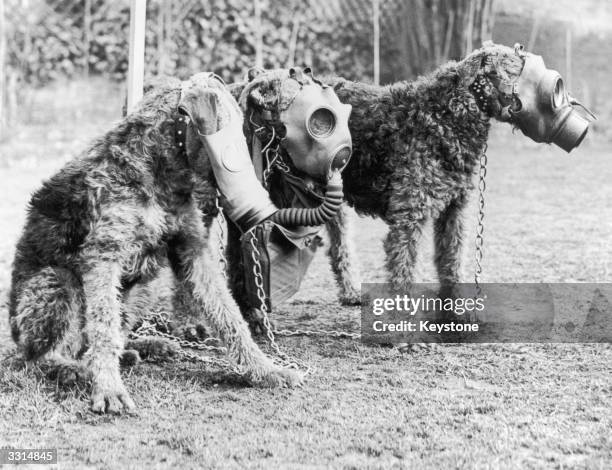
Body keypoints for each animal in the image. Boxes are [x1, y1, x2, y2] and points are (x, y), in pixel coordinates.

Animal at [10, 71, 302, 414]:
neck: (158, 166)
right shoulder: (103, 256)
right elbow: (103, 327)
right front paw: (108, 389)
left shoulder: (192, 249)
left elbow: (229, 316)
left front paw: (267, 370)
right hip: (57, 282)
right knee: (42, 356)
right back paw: (75, 370)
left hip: (144, 286)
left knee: (98, 340)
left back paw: (143, 348)